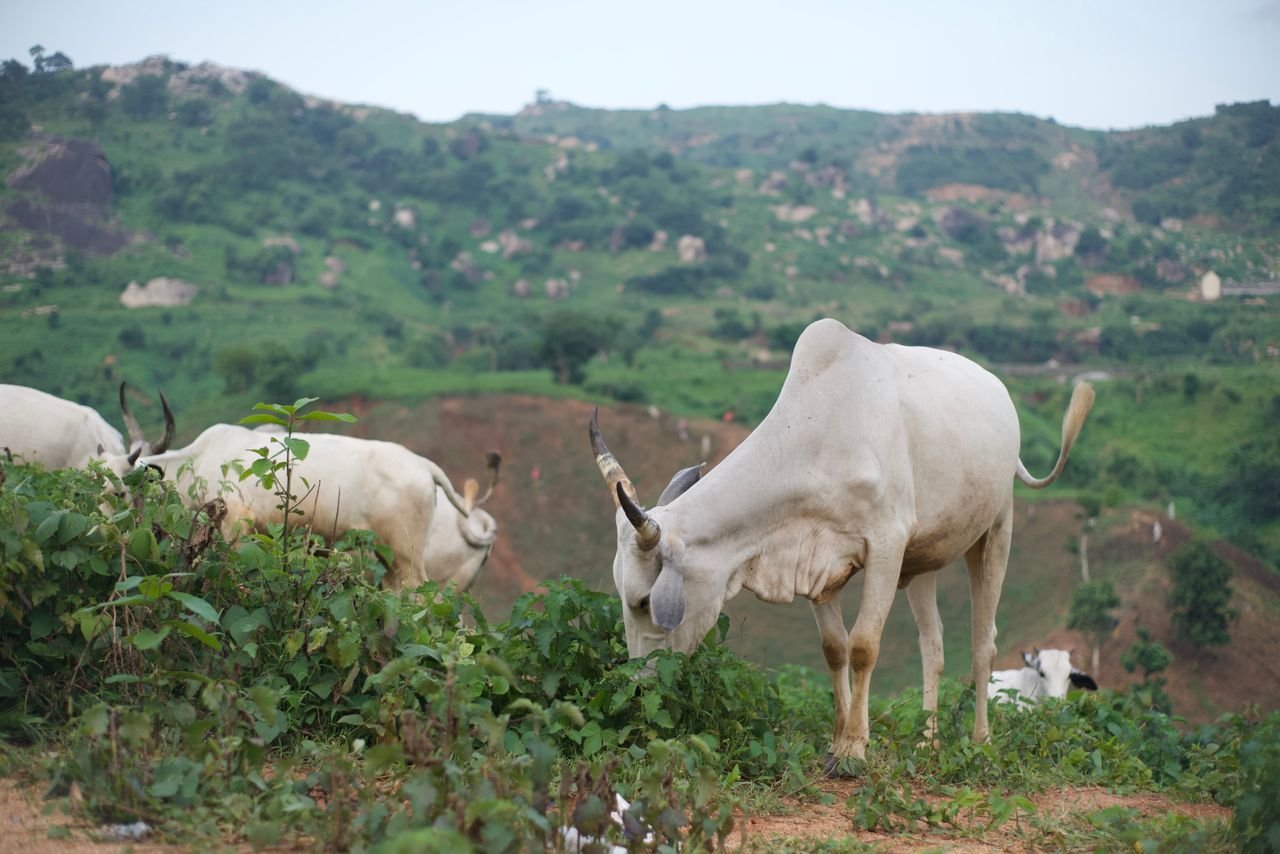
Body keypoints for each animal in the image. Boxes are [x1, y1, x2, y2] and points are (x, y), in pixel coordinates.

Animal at [588, 318, 1094, 766]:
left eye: (642, 602)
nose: (640, 688)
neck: (822, 437)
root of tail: (999, 390)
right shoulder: (817, 563)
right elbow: (835, 649)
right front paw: (836, 741)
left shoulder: (886, 546)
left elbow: (864, 646)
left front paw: (854, 747)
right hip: (923, 562)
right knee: (933, 647)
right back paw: (927, 743)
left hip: (995, 531)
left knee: (982, 642)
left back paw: (980, 740)